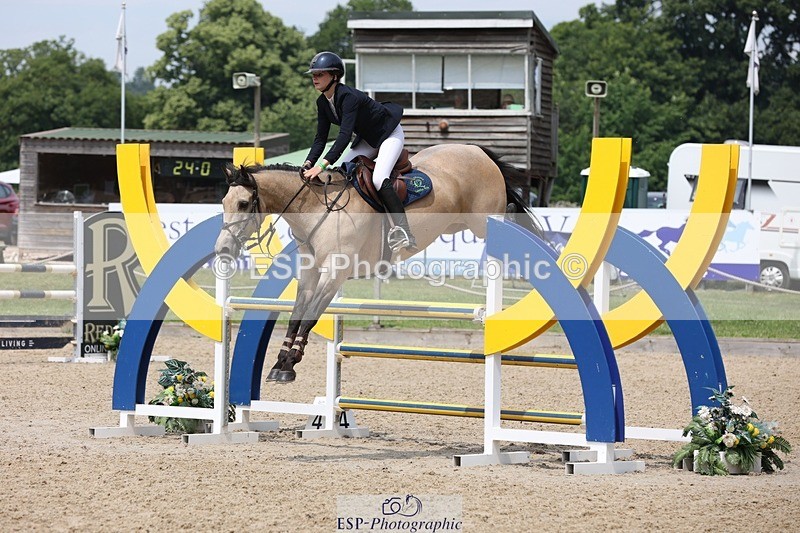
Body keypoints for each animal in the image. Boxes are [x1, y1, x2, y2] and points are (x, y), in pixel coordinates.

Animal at [214, 143, 542, 383]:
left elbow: (310, 316)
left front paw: (290, 363)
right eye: (223, 203)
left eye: (243, 203)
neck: (315, 206)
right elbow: (297, 315)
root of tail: (479, 151)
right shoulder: (310, 271)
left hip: (482, 221)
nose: (222, 249)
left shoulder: (334, 272)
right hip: (456, 224)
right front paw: (280, 363)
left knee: (510, 218)